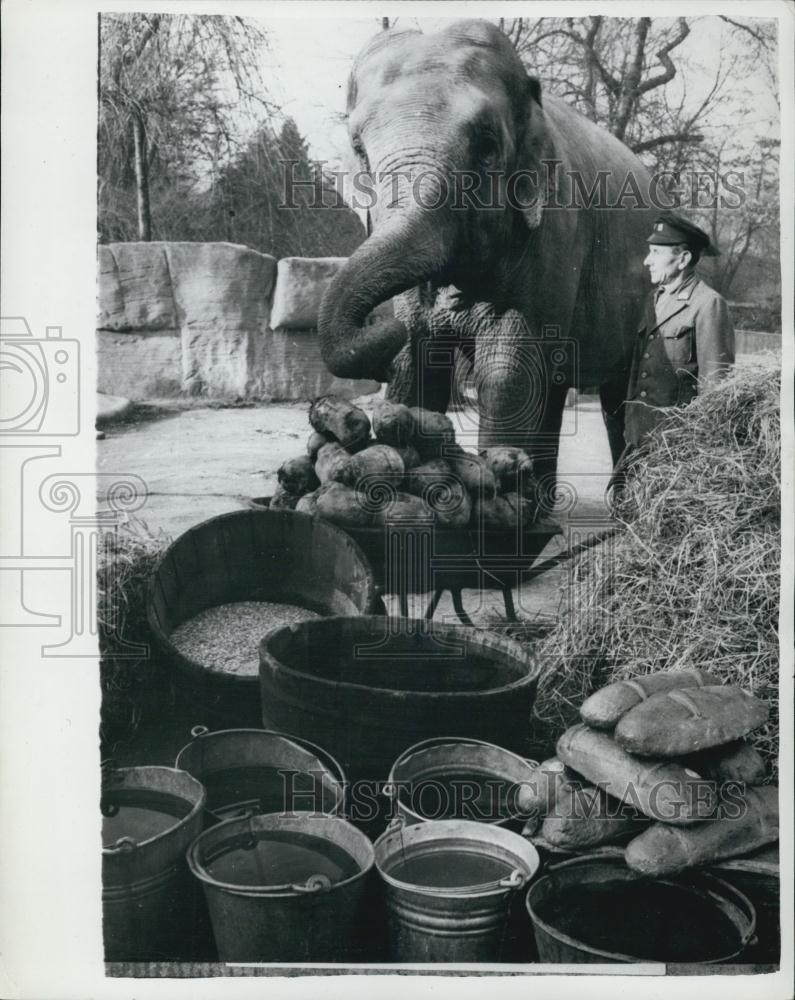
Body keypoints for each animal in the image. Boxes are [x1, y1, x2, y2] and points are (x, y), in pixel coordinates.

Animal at [318, 17, 660, 482]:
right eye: (359, 150)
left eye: (486, 147)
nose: (381, 326)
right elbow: (416, 364)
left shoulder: (554, 233)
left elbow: (507, 372)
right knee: (554, 390)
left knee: (617, 398)